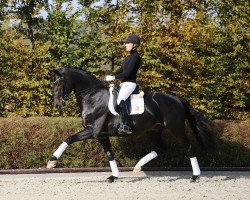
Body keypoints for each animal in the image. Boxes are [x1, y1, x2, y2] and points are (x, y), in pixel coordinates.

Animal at [47, 67, 213, 183]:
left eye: (60, 83)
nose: (57, 104)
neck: (93, 96)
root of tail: (177, 99)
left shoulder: (93, 131)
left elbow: (69, 138)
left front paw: (52, 161)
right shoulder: (101, 135)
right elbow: (110, 154)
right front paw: (114, 176)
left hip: (176, 129)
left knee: (189, 147)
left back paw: (195, 176)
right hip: (154, 130)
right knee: (160, 148)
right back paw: (138, 166)